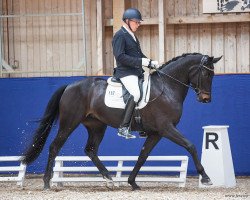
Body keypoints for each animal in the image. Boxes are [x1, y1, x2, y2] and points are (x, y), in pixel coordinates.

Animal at [23, 53, 222, 191]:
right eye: (206, 73)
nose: (206, 99)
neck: (167, 88)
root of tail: (70, 86)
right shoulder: (166, 128)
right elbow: (190, 146)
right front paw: (205, 177)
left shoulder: (156, 133)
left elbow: (143, 156)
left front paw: (132, 182)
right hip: (69, 123)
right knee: (54, 147)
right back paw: (47, 183)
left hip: (97, 126)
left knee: (90, 150)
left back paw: (109, 179)